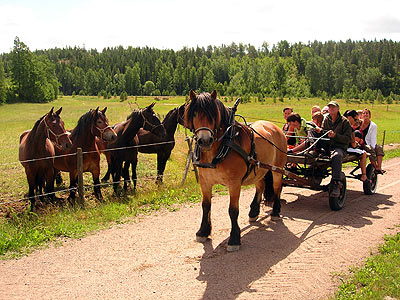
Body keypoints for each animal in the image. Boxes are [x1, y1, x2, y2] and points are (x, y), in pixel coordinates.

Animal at [184, 90, 288, 252]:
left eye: (213, 114)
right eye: (194, 114)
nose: (205, 141)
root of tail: (275, 127)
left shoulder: (234, 183)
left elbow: (233, 210)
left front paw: (234, 239)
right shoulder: (205, 181)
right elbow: (205, 205)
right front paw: (203, 231)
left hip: (278, 169)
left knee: (277, 188)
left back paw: (276, 211)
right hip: (259, 169)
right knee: (261, 186)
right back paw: (254, 212)